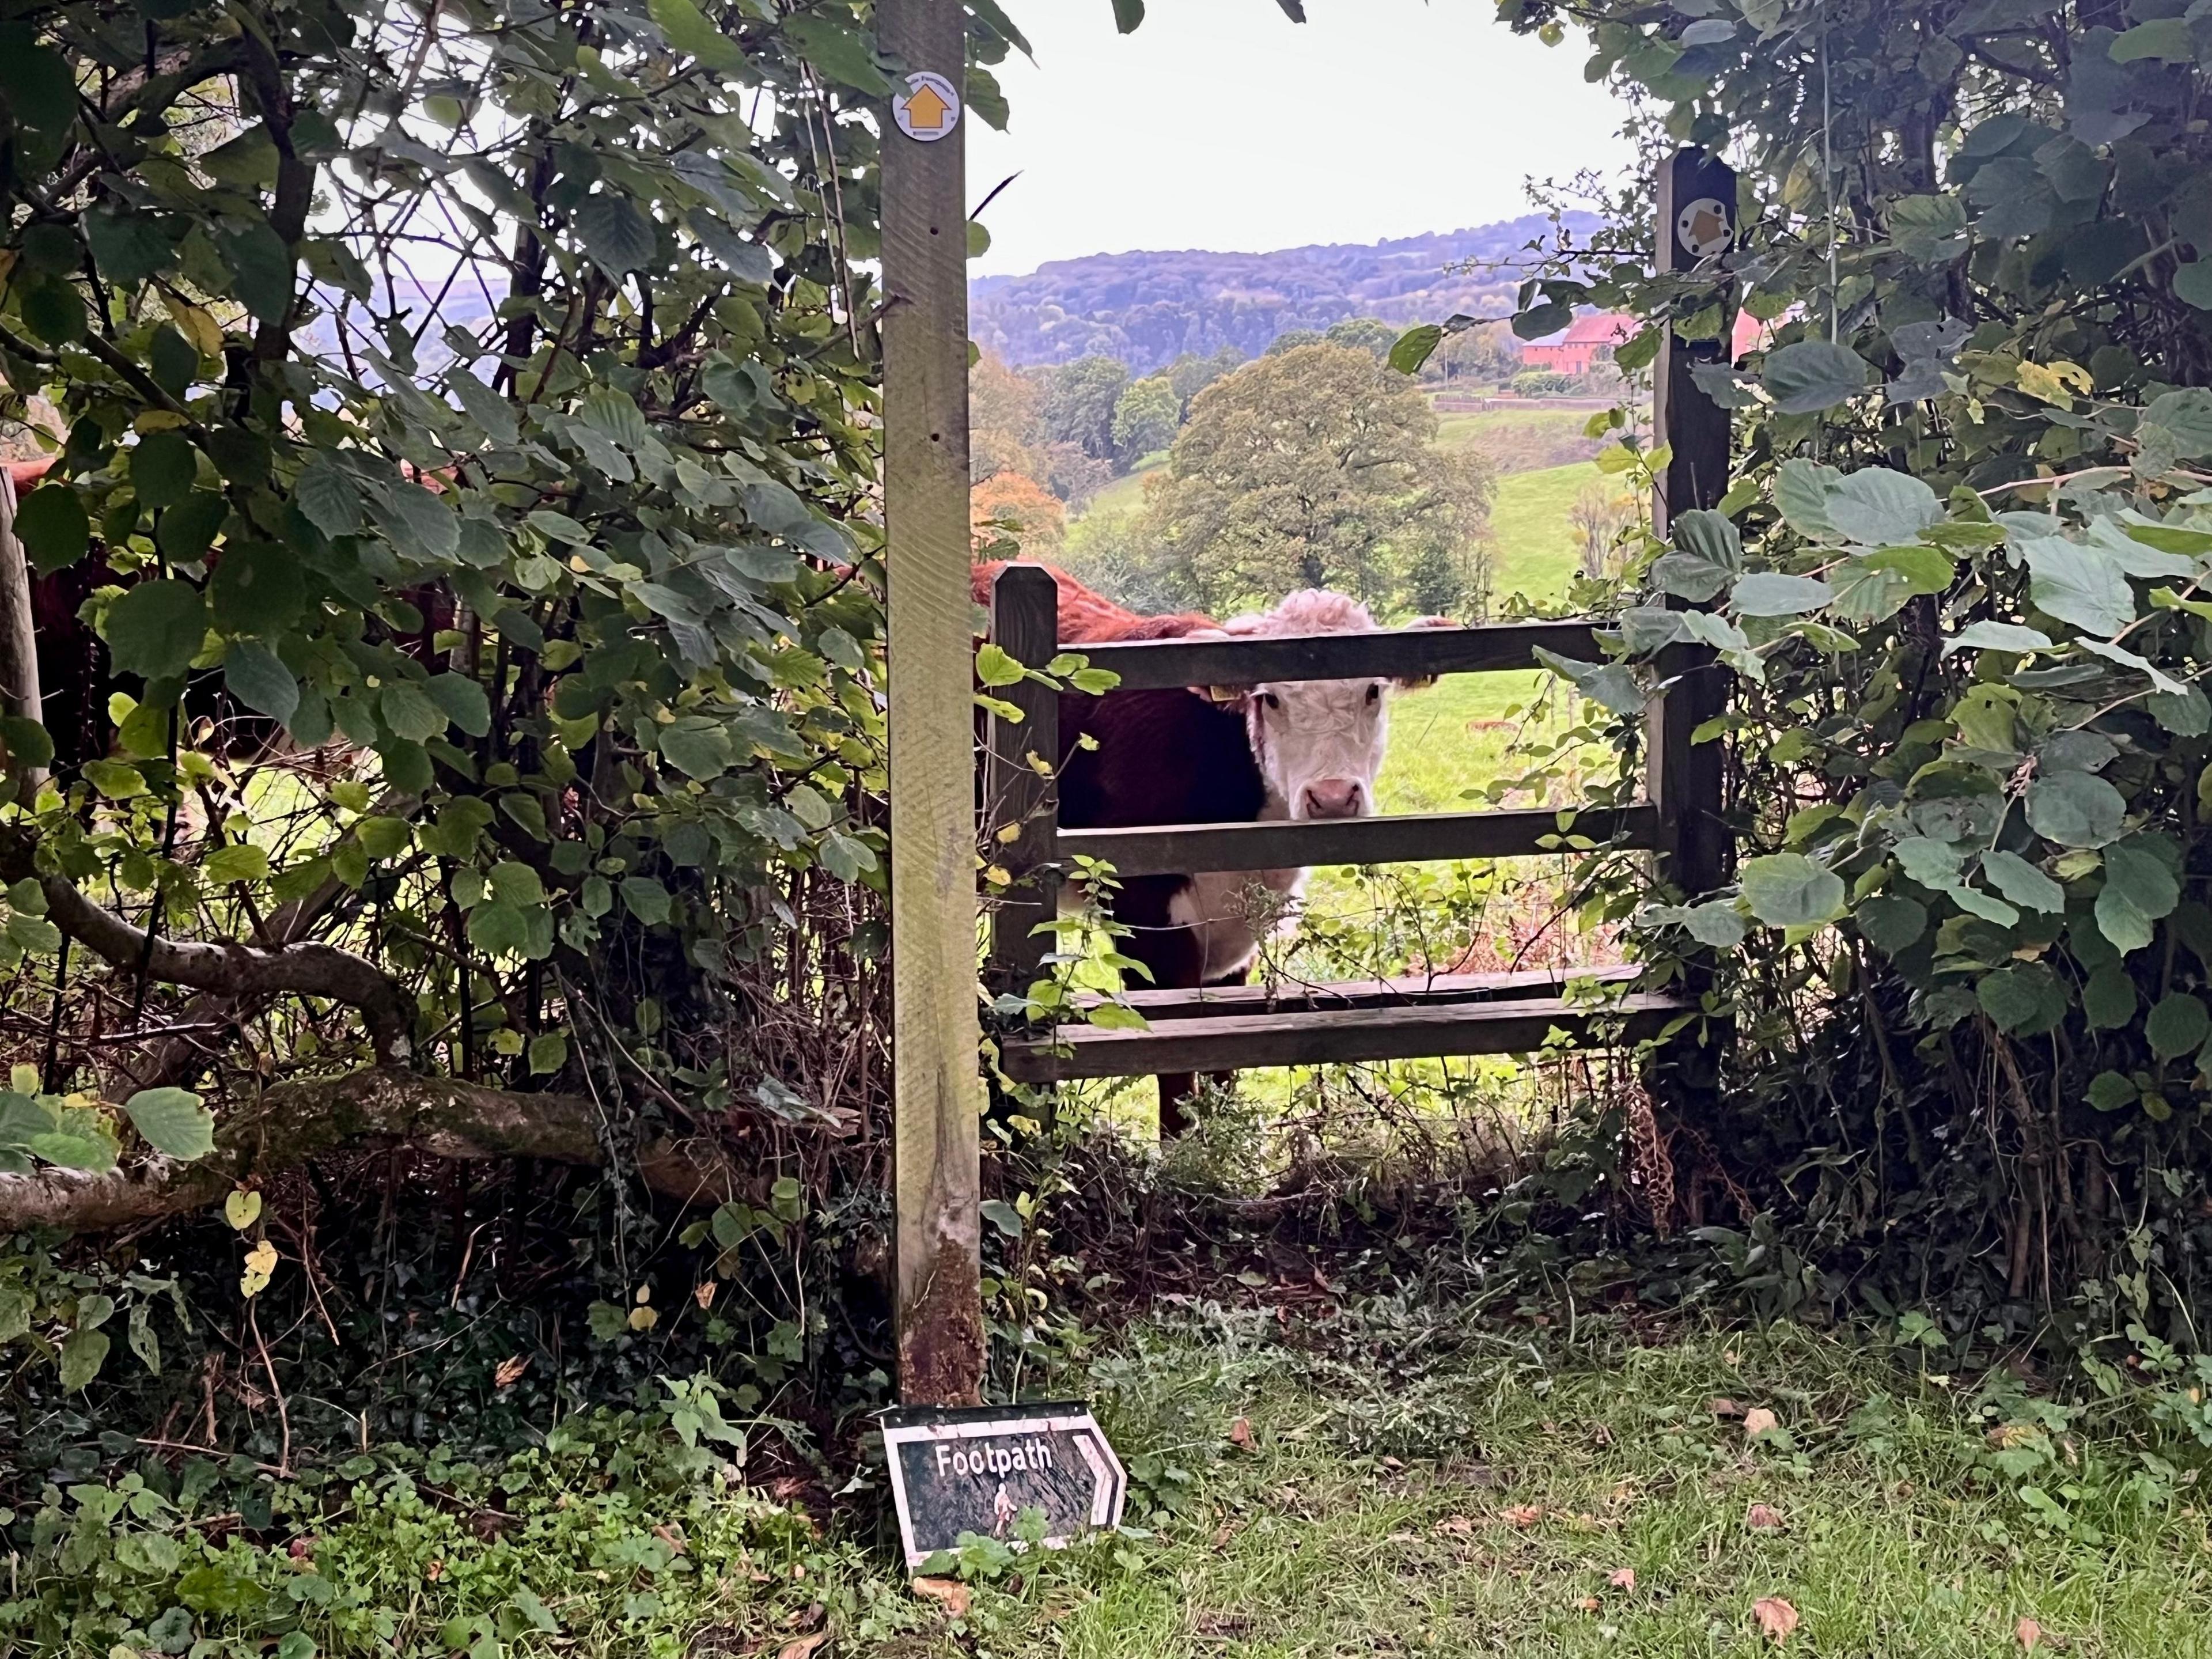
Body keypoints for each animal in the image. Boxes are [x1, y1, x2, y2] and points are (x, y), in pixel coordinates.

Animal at [978, 566, 1442, 1141]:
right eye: (1270, 699)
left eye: (1372, 690)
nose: (1333, 797)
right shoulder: (1148, 927)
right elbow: (1176, 1071)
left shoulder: (1237, 937)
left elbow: (1223, 1059)